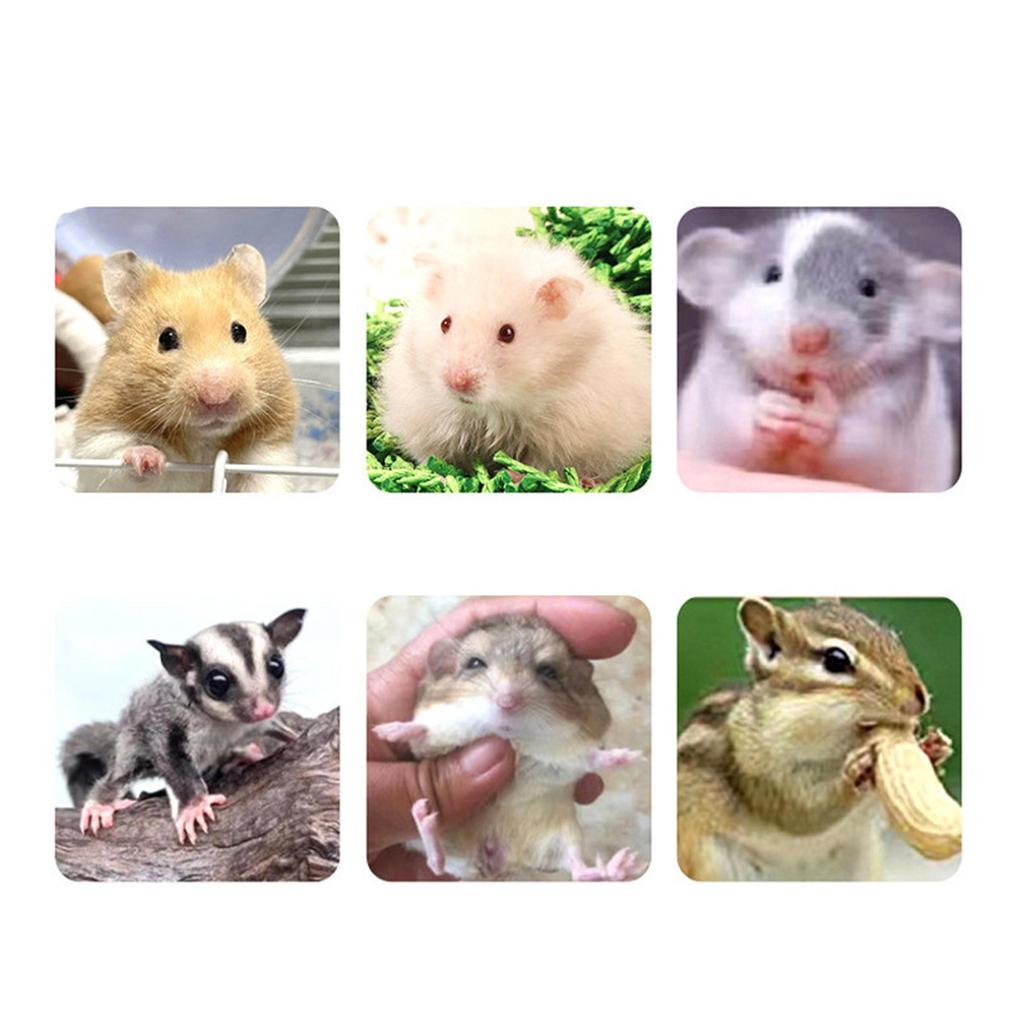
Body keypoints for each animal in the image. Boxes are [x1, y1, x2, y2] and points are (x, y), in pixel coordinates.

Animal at [62, 609, 305, 844]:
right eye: (218, 683)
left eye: (277, 666)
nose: (264, 708)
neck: (226, 724)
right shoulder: (167, 719)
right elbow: (170, 755)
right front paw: (194, 808)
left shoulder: (260, 724)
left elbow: (280, 730)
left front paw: (295, 737)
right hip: (129, 742)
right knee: (119, 774)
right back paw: (100, 803)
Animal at [72, 245, 298, 492]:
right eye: (166, 338)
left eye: (240, 331)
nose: (217, 396)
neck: (203, 440)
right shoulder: (98, 439)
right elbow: (118, 455)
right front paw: (149, 458)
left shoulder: (270, 454)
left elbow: (262, 481)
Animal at [373, 614, 645, 880]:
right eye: (474, 663)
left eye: (548, 671)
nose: (507, 702)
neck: (512, 742)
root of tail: (494, 862)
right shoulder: (430, 738)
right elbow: (423, 734)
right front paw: (387, 731)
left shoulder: (570, 753)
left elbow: (590, 757)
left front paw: (633, 757)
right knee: (436, 862)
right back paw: (423, 815)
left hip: (562, 836)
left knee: (580, 869)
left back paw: (623, 865)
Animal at [378, 237, 650, 481]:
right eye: (445, 323)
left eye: (508, 333)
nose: (457, 383)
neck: (494, 408)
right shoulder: (428, 421)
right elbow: (433, 457)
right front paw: (442, 476)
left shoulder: (561, 436)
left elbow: (541, 465)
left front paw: (510, 476)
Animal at [677, 211, 961, 490]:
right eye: (772, 274)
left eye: (869, 288)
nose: (809, 338)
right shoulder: (717, 381)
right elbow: (728, 416)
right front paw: (766, 409)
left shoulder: (894, 405)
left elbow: (868, 445)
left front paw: (822, 416)